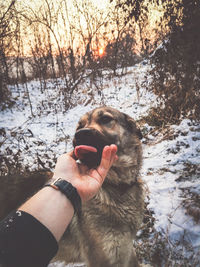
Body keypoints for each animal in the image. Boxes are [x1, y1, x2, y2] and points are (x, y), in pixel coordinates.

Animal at [0, 107, 144, 267]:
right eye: (79, 126)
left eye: (105, 119)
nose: (80, 134)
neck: (117, 186)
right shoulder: (103, 258)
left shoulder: (126, 250)